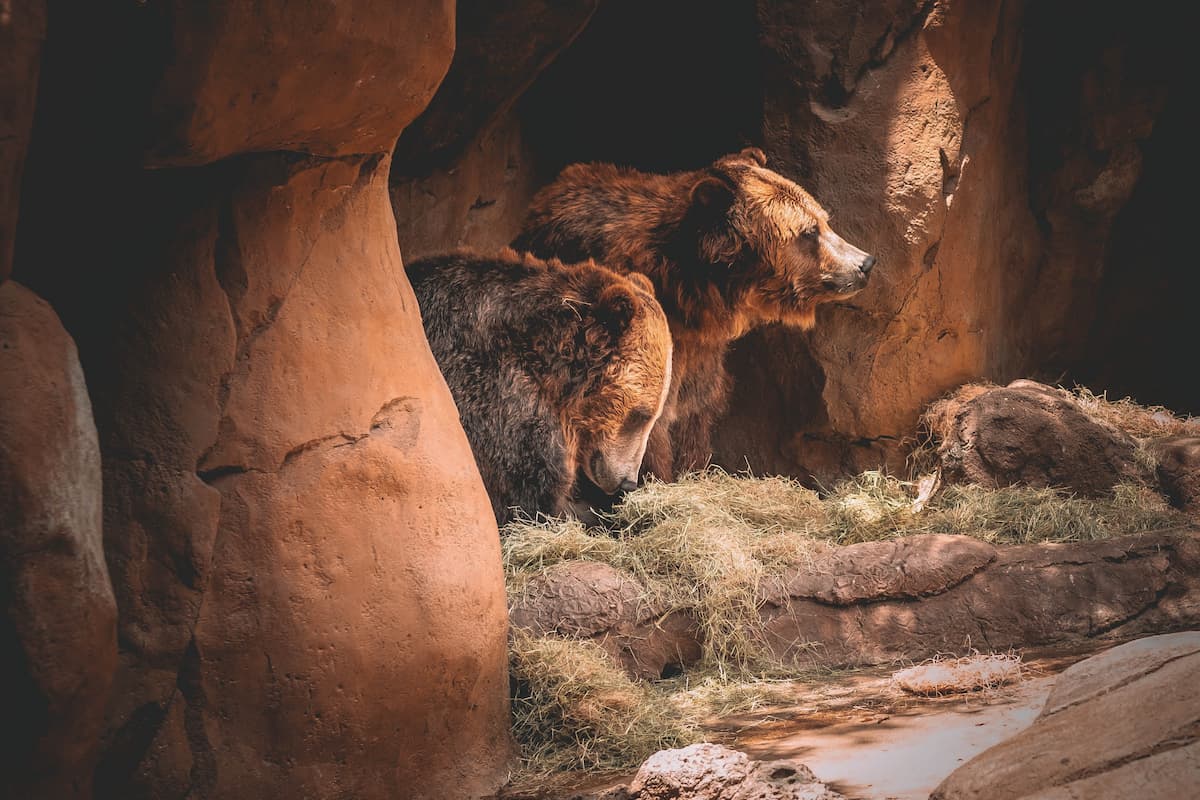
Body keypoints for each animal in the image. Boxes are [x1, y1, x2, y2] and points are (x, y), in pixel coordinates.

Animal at [512, 147, 876, 480]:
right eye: (808, 232)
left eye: (823, 218)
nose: (865, 263)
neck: (691, 294)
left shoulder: (700, 352)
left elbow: (695, 411)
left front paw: (692, 468)